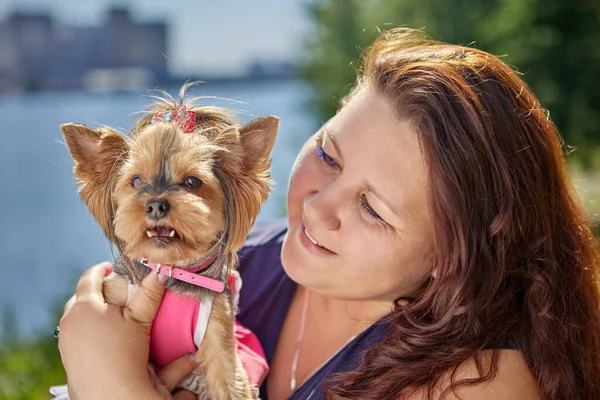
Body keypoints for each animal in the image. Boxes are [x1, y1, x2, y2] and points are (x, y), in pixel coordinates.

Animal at [54, 83, 278, 398]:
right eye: (135, 181)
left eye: (192, 182)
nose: (156, 205)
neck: (172, 270)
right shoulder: (115, 294)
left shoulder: (218, 331)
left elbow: (229, 383)